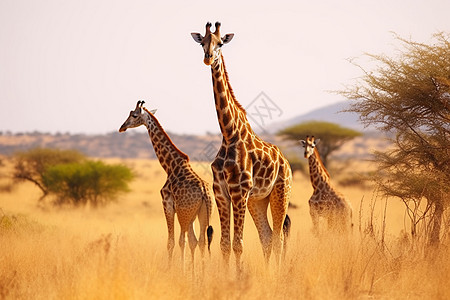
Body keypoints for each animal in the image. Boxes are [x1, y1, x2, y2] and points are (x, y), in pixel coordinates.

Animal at [119, 100, 214, 268]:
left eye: (134, 115)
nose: (122, 127)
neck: (170, 166)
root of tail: (204, 192)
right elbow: (191, 242)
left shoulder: (167, 204)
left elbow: (172, 242)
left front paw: (172, 269)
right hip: (203, 213)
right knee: (201, 241)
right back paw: (201, 273)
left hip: (184, 214)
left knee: (186, 240)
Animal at [192, 22, 294, 268]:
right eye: (202, 43)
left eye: (220, 43)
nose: (208, 58)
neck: (229, 134)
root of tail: (286, 163)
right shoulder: (221, 192)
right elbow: (224, 245)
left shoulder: (239, 191)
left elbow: (238, 244)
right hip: (258, 200)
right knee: (267, 236)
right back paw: (268, 273)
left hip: (281, 192)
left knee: (278, 238)